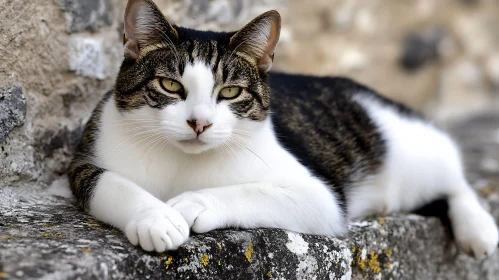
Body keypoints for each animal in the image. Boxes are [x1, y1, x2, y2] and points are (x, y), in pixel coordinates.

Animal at [67, 0, 499, 260]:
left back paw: (478, 228)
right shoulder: (83, 159)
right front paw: (155, 218)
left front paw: (192, 203)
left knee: (453, 174)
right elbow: (109, 183)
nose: (199, 122)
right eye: (170, 86)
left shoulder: (321, 196)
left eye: (230, 91)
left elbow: (253, 190)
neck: (181, 161)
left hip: (416, 150)